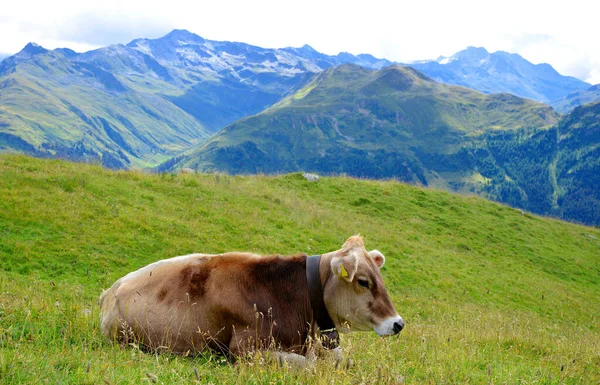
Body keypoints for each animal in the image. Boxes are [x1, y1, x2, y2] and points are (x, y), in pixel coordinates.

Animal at [101, 234, 406, 364]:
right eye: (363, 282)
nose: (398, 323)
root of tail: (110, 291)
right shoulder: (244, 348)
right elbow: (306, 365)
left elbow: (344, 360)